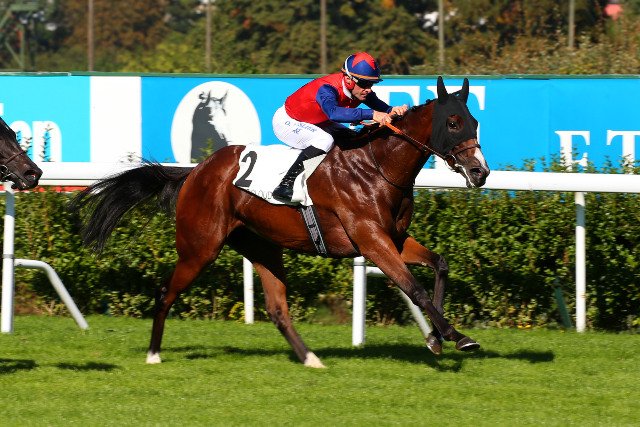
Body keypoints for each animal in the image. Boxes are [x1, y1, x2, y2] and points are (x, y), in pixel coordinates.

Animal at [71, 76, 490, 368]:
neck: (377, 166)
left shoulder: (394, 237)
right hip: (199, 248)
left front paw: (437, 338)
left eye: (474, 121)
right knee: (164, 293)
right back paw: (154, 354)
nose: (480, 171)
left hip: (262, 247)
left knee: (277, 310)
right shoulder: (371, 240)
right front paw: (455, 335)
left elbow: (440, 265)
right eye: (453, 122)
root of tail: (194, 173)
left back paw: (311, 359)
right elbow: (413, 288)